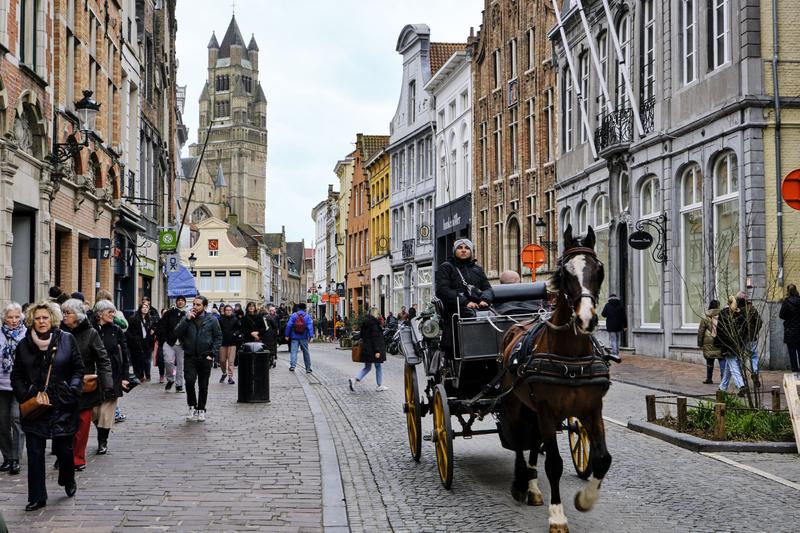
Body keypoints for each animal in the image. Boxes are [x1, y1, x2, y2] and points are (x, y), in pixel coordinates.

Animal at [500, 224, 612, 532]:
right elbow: (554, 464)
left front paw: (584, 500)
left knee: (532, 442)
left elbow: (602, 459)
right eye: (564, 273)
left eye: (599, 269)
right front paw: (558, 517)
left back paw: (533, 488)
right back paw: (519, 483)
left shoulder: (591, 409)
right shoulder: (547, 410)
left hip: (533, 410)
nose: (587, 319)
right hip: (516, 404)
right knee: (518, 440)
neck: (570, 357)